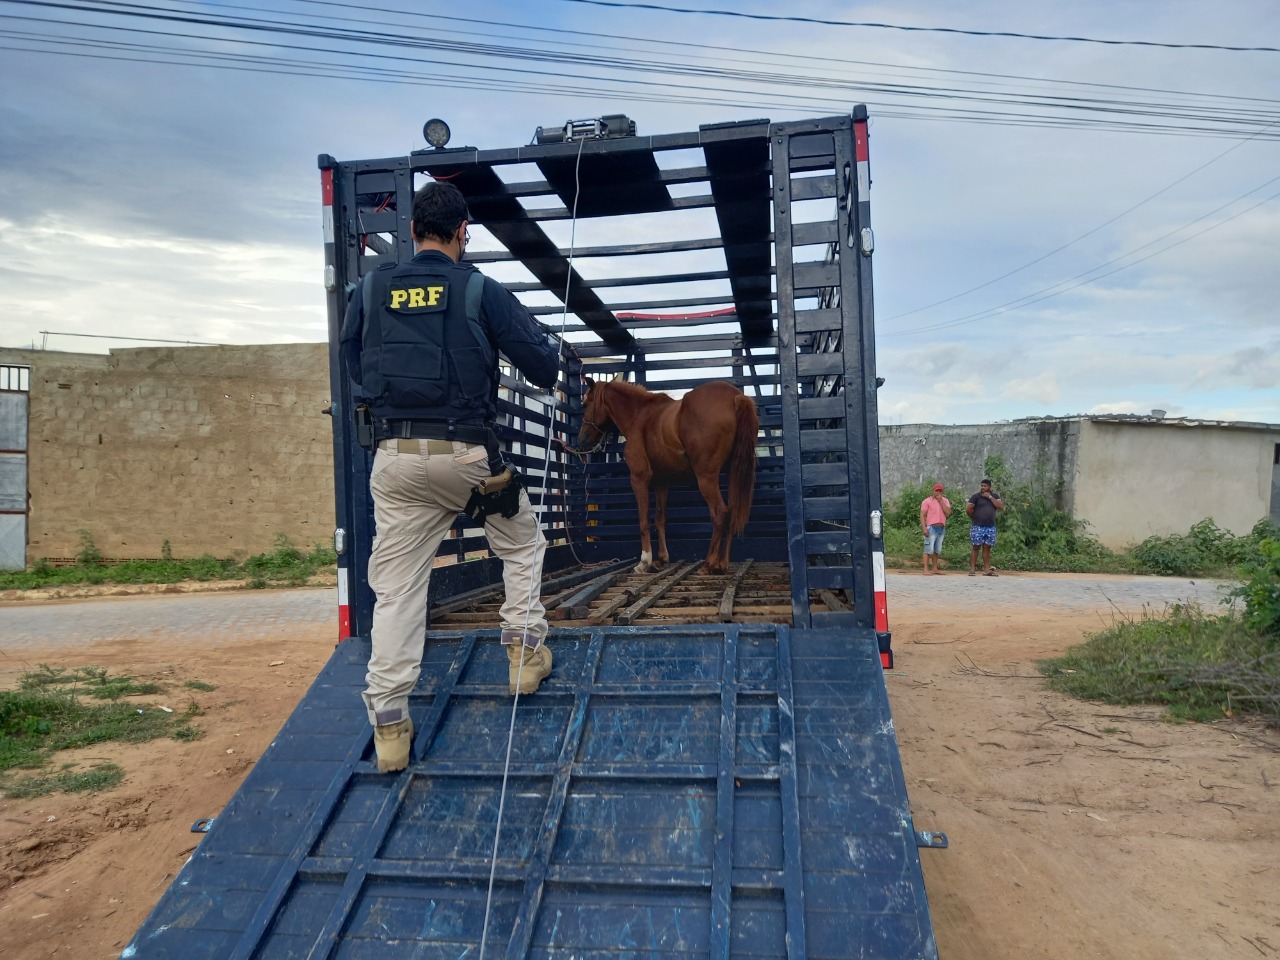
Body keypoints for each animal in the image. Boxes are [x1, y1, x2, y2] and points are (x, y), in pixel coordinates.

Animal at [578, 378, 752, 576]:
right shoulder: (662, 483)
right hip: (732, 473)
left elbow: (644, 520)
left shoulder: (638, 479)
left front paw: (644, 561)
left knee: (720, 513)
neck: (639, 416)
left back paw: (710, 563)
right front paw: (662, 559)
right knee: (733, 511)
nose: (581, 441)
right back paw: (723, 563)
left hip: (706, 478)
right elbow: (659, 519)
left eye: (586, 404)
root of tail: (735, 397)